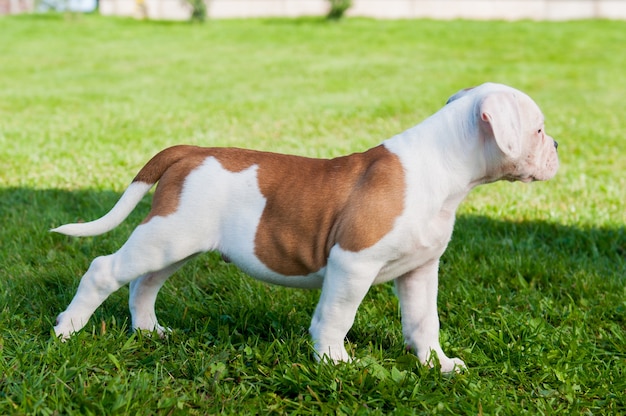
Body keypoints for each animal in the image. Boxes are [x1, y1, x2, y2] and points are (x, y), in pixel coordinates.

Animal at [52, 83, 556, 372]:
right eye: (538, 129)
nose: (556, 144)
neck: (444, 163)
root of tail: (191, 151)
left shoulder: (420, 270)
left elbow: (423, 321)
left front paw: (438, 364)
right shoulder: (353, 263)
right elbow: (336, 315)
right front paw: (335, 362)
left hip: (177, 242)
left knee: (143, 283)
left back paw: (149, 331)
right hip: (164, 238)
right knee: (103, 270)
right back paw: (65, 332)